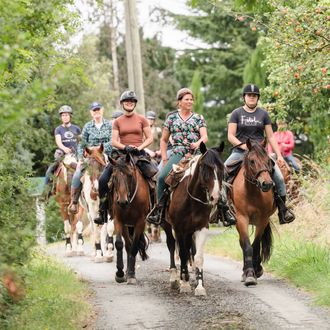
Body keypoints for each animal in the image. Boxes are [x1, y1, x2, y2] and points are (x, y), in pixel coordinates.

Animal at [108, 152, 150, 284]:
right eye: (114, 177)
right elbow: (119, 244)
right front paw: (120, 273)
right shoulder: (119, 220)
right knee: (127, 245)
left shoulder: (140, 222)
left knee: (131, 246)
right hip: (126, 225)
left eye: (130, 175)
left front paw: (131, 275)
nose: (122, 201)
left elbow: (135, 247)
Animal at [164, 141, 224, 296]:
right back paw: (175, 279)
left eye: (222, 168)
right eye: (205, 167)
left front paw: (200, 286)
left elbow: (198, 256)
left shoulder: (201, 228)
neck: (191, 200)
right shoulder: (179, 229)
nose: (215, 197)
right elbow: (183, 255)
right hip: (168, 226)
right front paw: (185, 284)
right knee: (173, 247)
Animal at [232, 139, 276, 286]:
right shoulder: (241, 218)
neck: (252, 192)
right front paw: (250, 274)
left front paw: (256, 271)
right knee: (242, 243)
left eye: (268, 160)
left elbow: (256, 246)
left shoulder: (263, 219)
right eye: (252, 161)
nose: (267, 184)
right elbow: (247, 246)